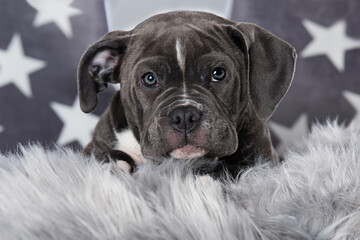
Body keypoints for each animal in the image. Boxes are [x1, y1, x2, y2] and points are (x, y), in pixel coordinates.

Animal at [77, 10, 296, 176]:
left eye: (218, 73)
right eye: (149, 79)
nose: (184, 115)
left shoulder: (261, 159)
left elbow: (234, 167)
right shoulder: (95, 146)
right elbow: (105, 154)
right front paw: (111, 168)